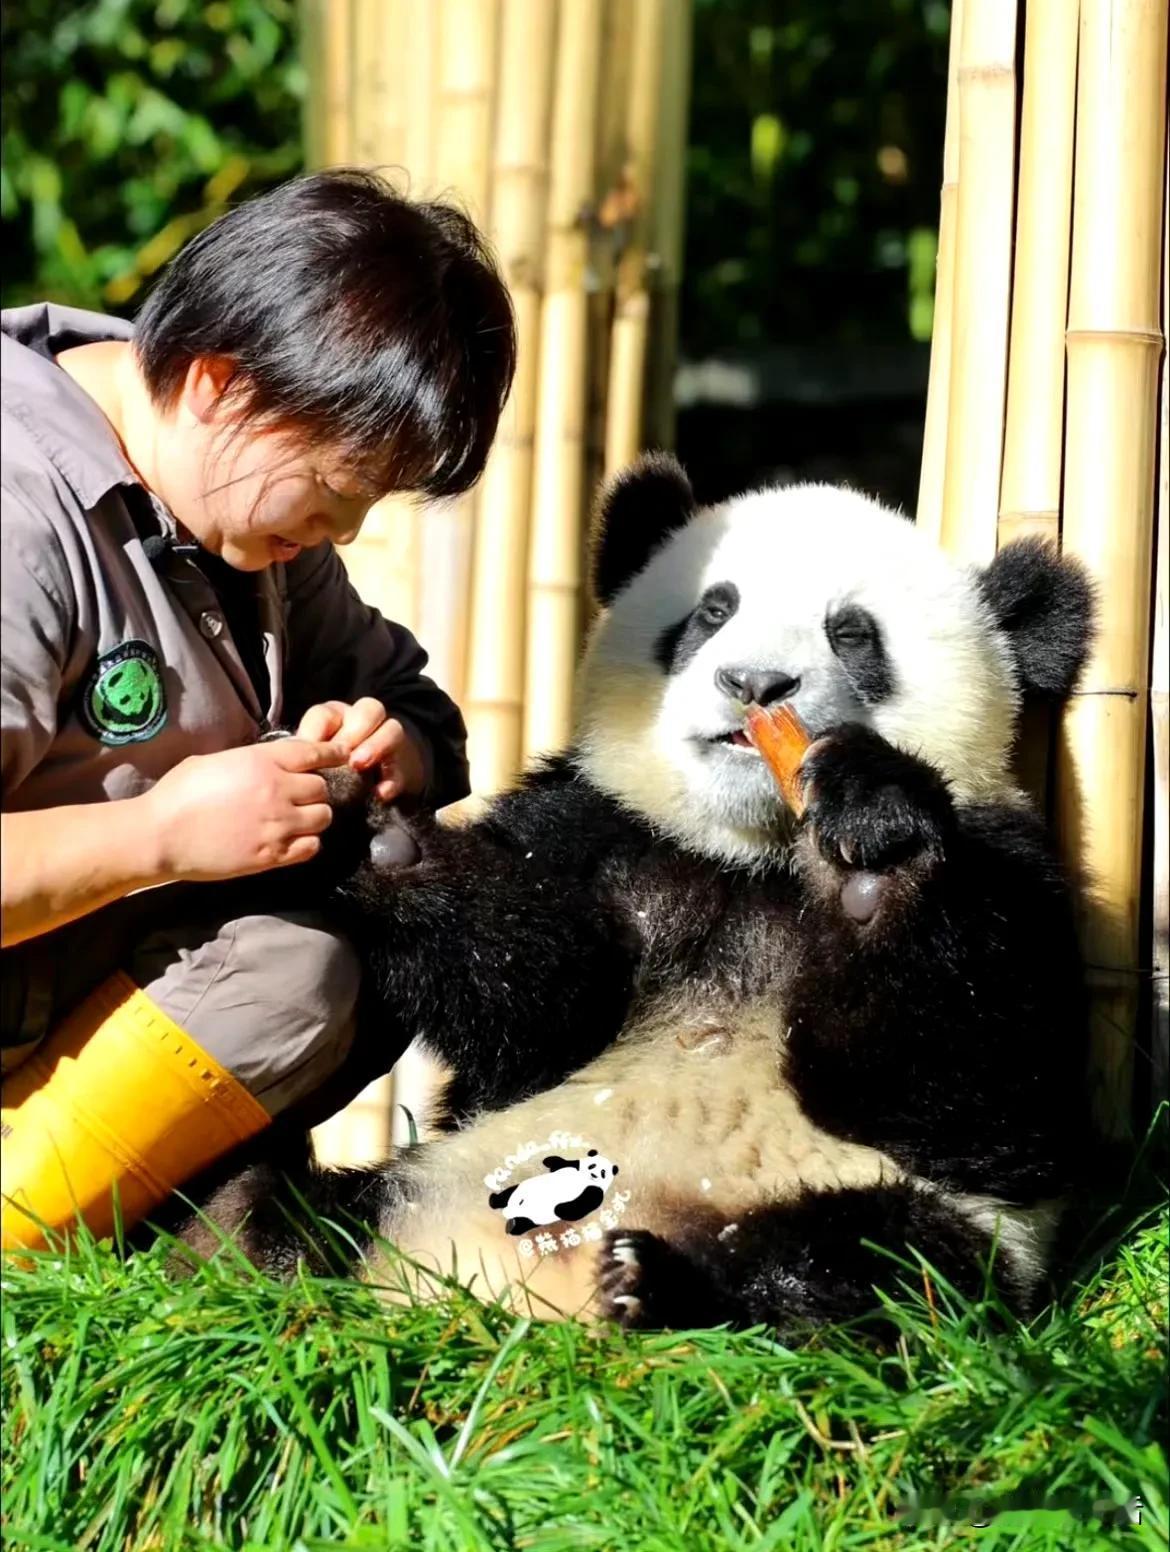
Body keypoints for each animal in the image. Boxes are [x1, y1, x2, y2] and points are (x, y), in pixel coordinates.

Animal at [191, 453, 1092, 1340]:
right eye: (712, 611)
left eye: (853, 633)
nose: (754, 682)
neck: (750, 855)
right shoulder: (596, 828)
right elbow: (538, 1000)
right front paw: (361, 824)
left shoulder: (1016, 870)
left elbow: (980, 1098)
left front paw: (875, 839)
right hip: (434, 1172)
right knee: (333, 1211)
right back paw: (242, 1227)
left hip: (903, 1221)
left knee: (875, 1268)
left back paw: (663, 1286)